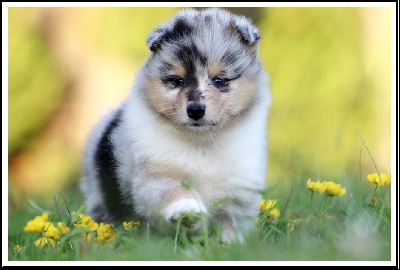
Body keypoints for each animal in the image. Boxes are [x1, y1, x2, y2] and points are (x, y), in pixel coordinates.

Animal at [81, 7, 272, 243]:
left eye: (219, 80)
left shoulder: (239, 189)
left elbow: (230, 224)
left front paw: (230, 245)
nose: (196, 110)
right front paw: (187, 210)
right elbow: (173, 191)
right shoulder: (156, 173)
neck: (201, 145)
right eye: (177, 81)